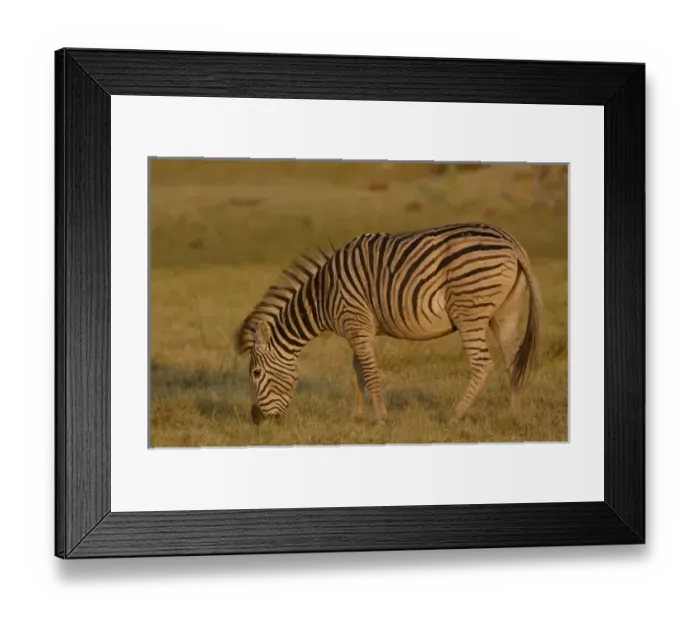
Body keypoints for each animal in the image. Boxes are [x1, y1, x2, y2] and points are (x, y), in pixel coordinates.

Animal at [234, 222, 543, 426]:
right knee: (513, 361)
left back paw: (455, 416)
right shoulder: (360, 330)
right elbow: (356, 373)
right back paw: (513, 414)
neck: (324, 295)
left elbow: (370, 373)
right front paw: (357, 416)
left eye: (256, 373)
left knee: (483, 364)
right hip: (505, 314)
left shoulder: (357, 324)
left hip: (469, 312)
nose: (256, 419)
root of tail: (512, 243)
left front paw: (381, 419)